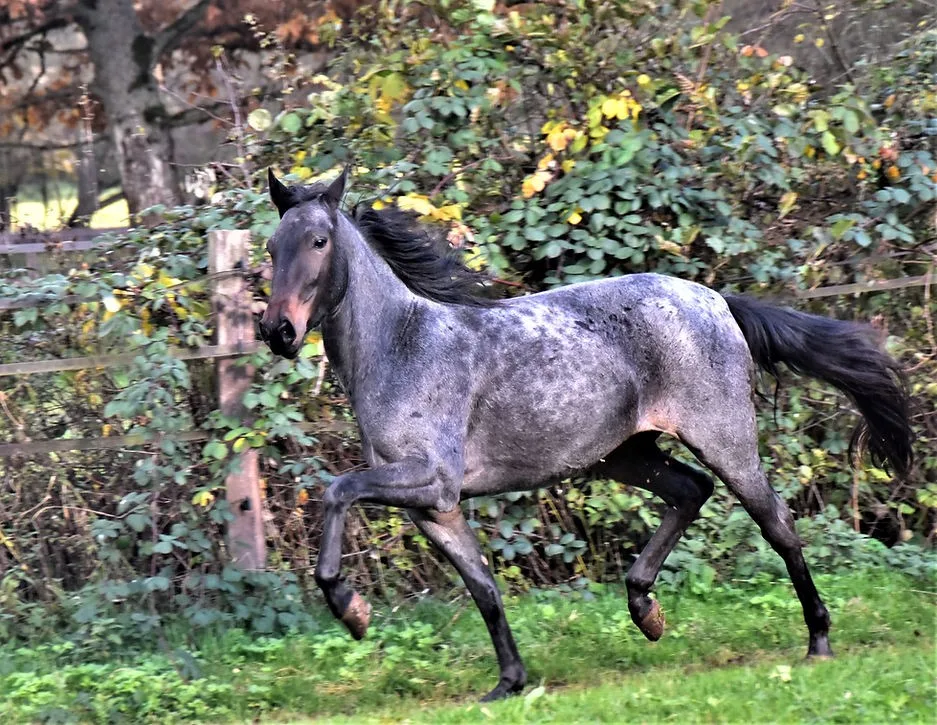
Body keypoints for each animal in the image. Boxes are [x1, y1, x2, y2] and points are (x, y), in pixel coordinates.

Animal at [258, 168, 913, 702]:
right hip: (624, 455)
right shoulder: (435, 510)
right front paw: (509, 683)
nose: (277, 331)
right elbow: (484, 587)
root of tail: (714, 299)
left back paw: (818, 641)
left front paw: (352, 612)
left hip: (724, 441)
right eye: (270, 247)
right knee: (690, 491)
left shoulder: (432, 480)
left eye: (319, 242)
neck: (403, 347)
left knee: (776, 522)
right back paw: (645, 609)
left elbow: (338, 491)